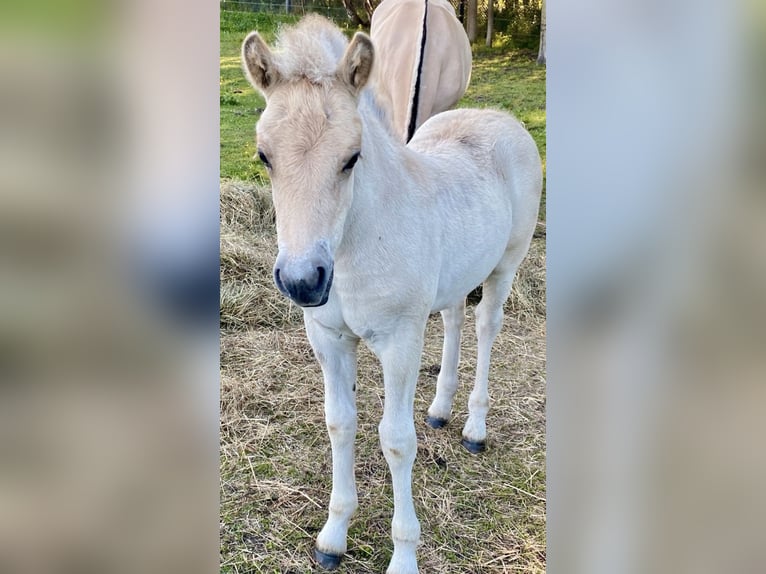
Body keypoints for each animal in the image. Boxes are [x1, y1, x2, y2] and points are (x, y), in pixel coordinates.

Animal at [243, 15, 544, 572]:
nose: (303, 280)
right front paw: (333, 537)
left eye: (351, 158)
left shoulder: (400, 340)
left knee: (486, 327)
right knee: (453, 319)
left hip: (506, 265)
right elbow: (340, 423)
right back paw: (441, 408)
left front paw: (403, 555)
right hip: (454, 276)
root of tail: (500, 118)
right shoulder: (329, 336)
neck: (354, 248)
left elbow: (397, 440)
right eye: (264, 156)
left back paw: (474, 428)